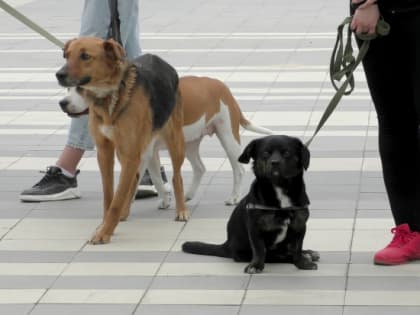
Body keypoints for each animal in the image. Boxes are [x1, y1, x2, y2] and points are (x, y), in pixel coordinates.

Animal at [55, 37, 189, 244]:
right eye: (67, 55)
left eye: (85, 56)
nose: (59, 75)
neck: (108, 96)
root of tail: (161, 61)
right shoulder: (105, 152)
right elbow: (110, 196)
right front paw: (106, 226)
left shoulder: (130, 152)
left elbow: (116, 200)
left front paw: (104, 233)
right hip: (125, 152)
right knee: (133, 180)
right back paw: (125, 213)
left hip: (174, 141)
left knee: (176, 177)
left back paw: (181, 210)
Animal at [60, 75, 274, 206]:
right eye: (68, 87)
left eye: (82, 87)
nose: (62, 103)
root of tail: (222, 86)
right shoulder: (150, 152)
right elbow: (155, 177)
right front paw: (164, 199)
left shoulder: (142, 154)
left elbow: (135, 181)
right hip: (189, 142)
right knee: (200, 168)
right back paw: (188, 195)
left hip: (227, 136)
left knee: (238, 169)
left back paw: (234, 197)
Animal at [182, 135, 320, 274]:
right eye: (265, 153)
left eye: (286, 153)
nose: (275, 162)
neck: (279, 187)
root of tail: (227, 245)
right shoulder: (255, 227)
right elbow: (259, 250)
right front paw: (256, 265)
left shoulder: (299, 225)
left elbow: (297, 248)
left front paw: (302, 263)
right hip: (245, 253)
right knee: (275, 256)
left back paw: (307, 253)